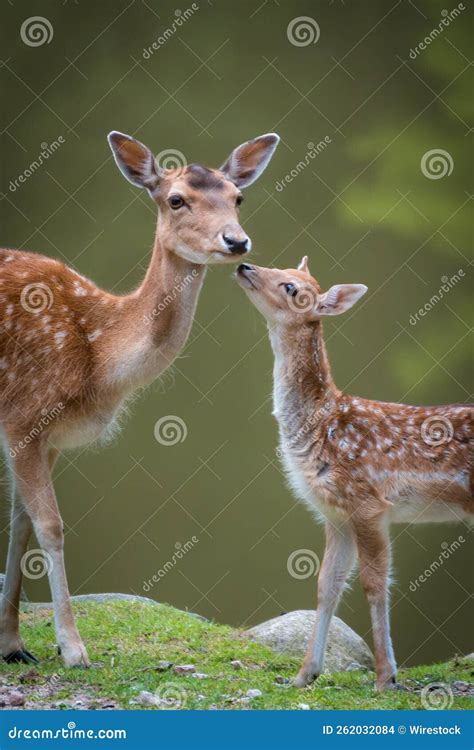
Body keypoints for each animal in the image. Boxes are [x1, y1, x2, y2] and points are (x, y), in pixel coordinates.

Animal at [0, 131, 280, 668]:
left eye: (238, 197)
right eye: (176, 200)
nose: (236, 241)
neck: (97, 355)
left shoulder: (45, 438)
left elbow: (20, 523)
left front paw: (12, 644)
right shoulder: (24, 414)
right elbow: (51, 525)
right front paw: (73, 649)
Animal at [235, 260, 472, 692]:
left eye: (292, 287)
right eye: (279, 266)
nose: (244, 264)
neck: (320, 423)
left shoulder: (368, 501)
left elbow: (374, 585)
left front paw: (384, 677)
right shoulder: (335, 514)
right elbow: (326, 586)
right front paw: (303, 675)